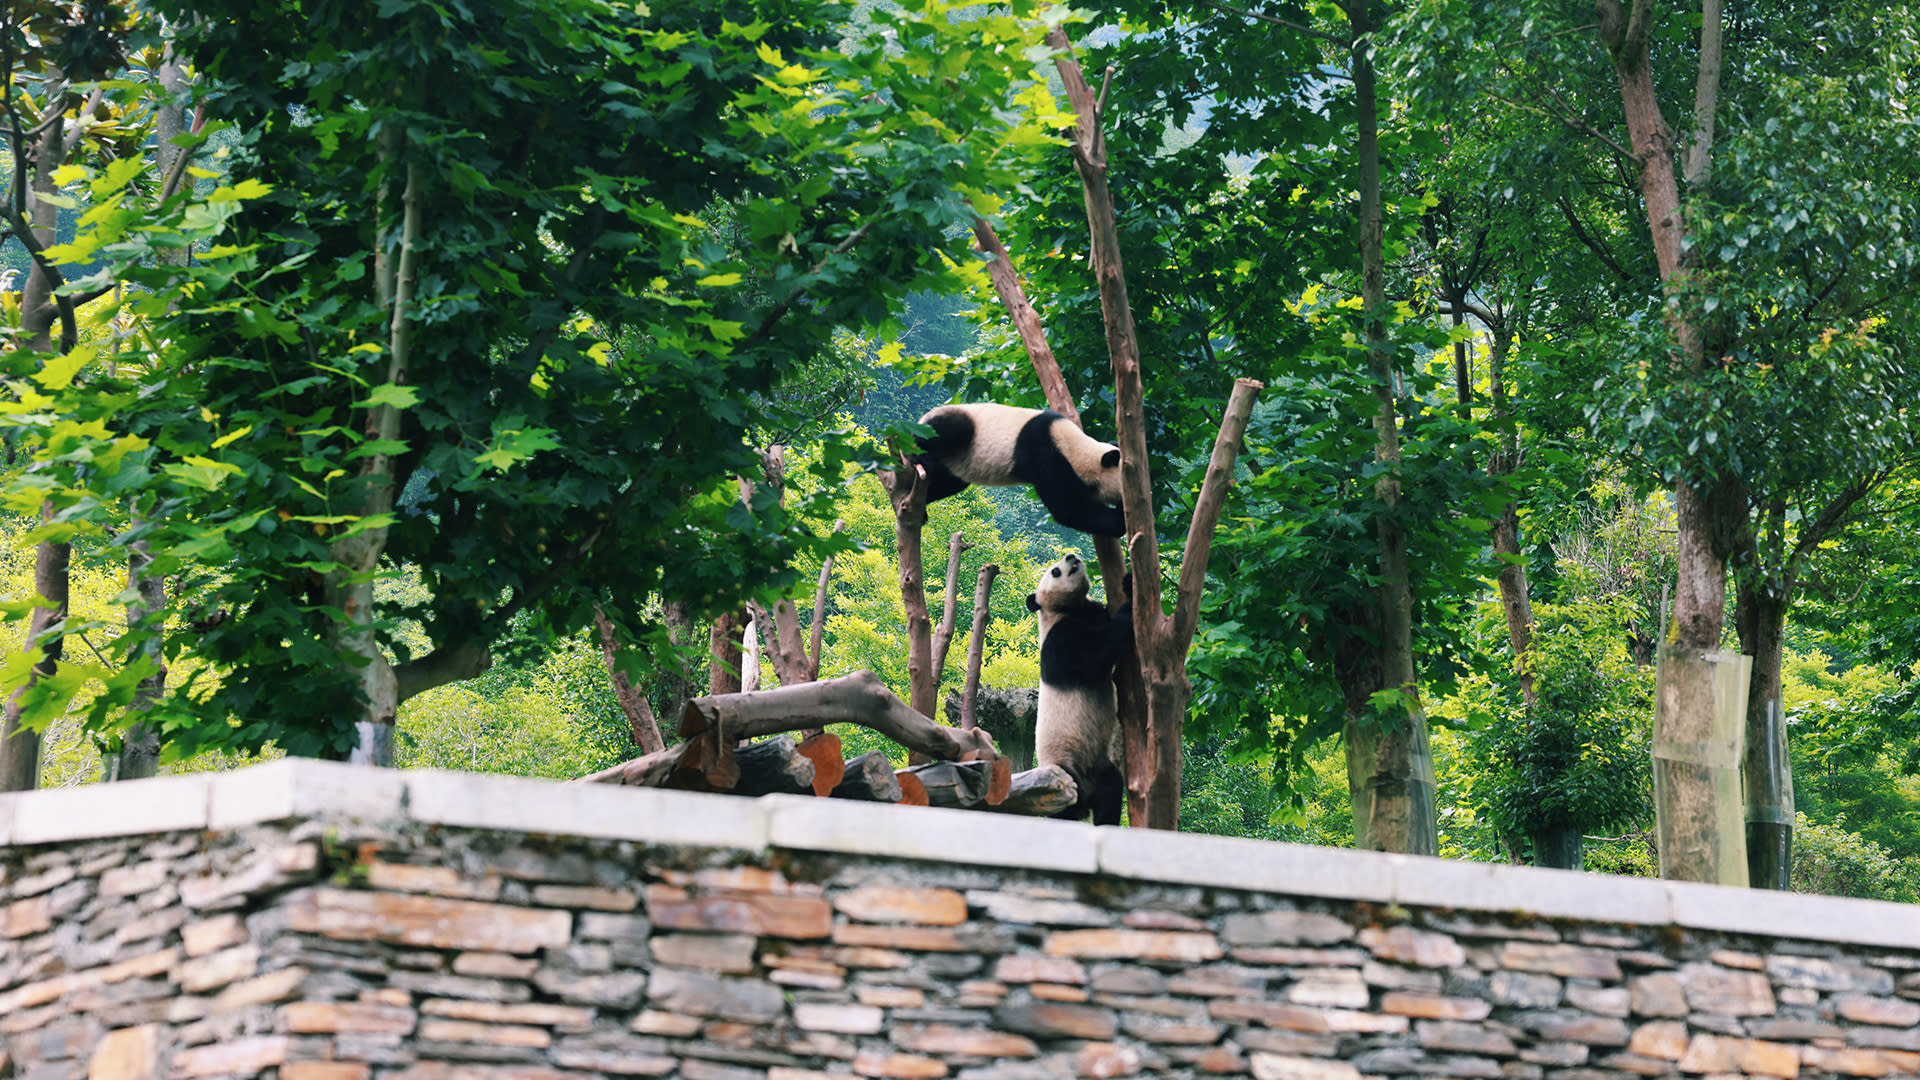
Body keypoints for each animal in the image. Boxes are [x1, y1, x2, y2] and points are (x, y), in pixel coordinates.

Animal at [914, 403, 1125, 538]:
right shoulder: (1045, 455)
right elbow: (1067, 508)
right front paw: (1120, 520)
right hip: (957, 427)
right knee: (945, 431)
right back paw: (917, 457)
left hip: (953, 464)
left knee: (948, 483)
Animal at [1026, 552, 1133, 825]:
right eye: (1055, 571)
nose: (1071, 556)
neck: (1066, 610)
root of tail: (1084, 801)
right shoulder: (1059, 641)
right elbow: (1097, 655)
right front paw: (1130, 592)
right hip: (1061, 772)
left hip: (1100, 769)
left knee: (1110, 791)